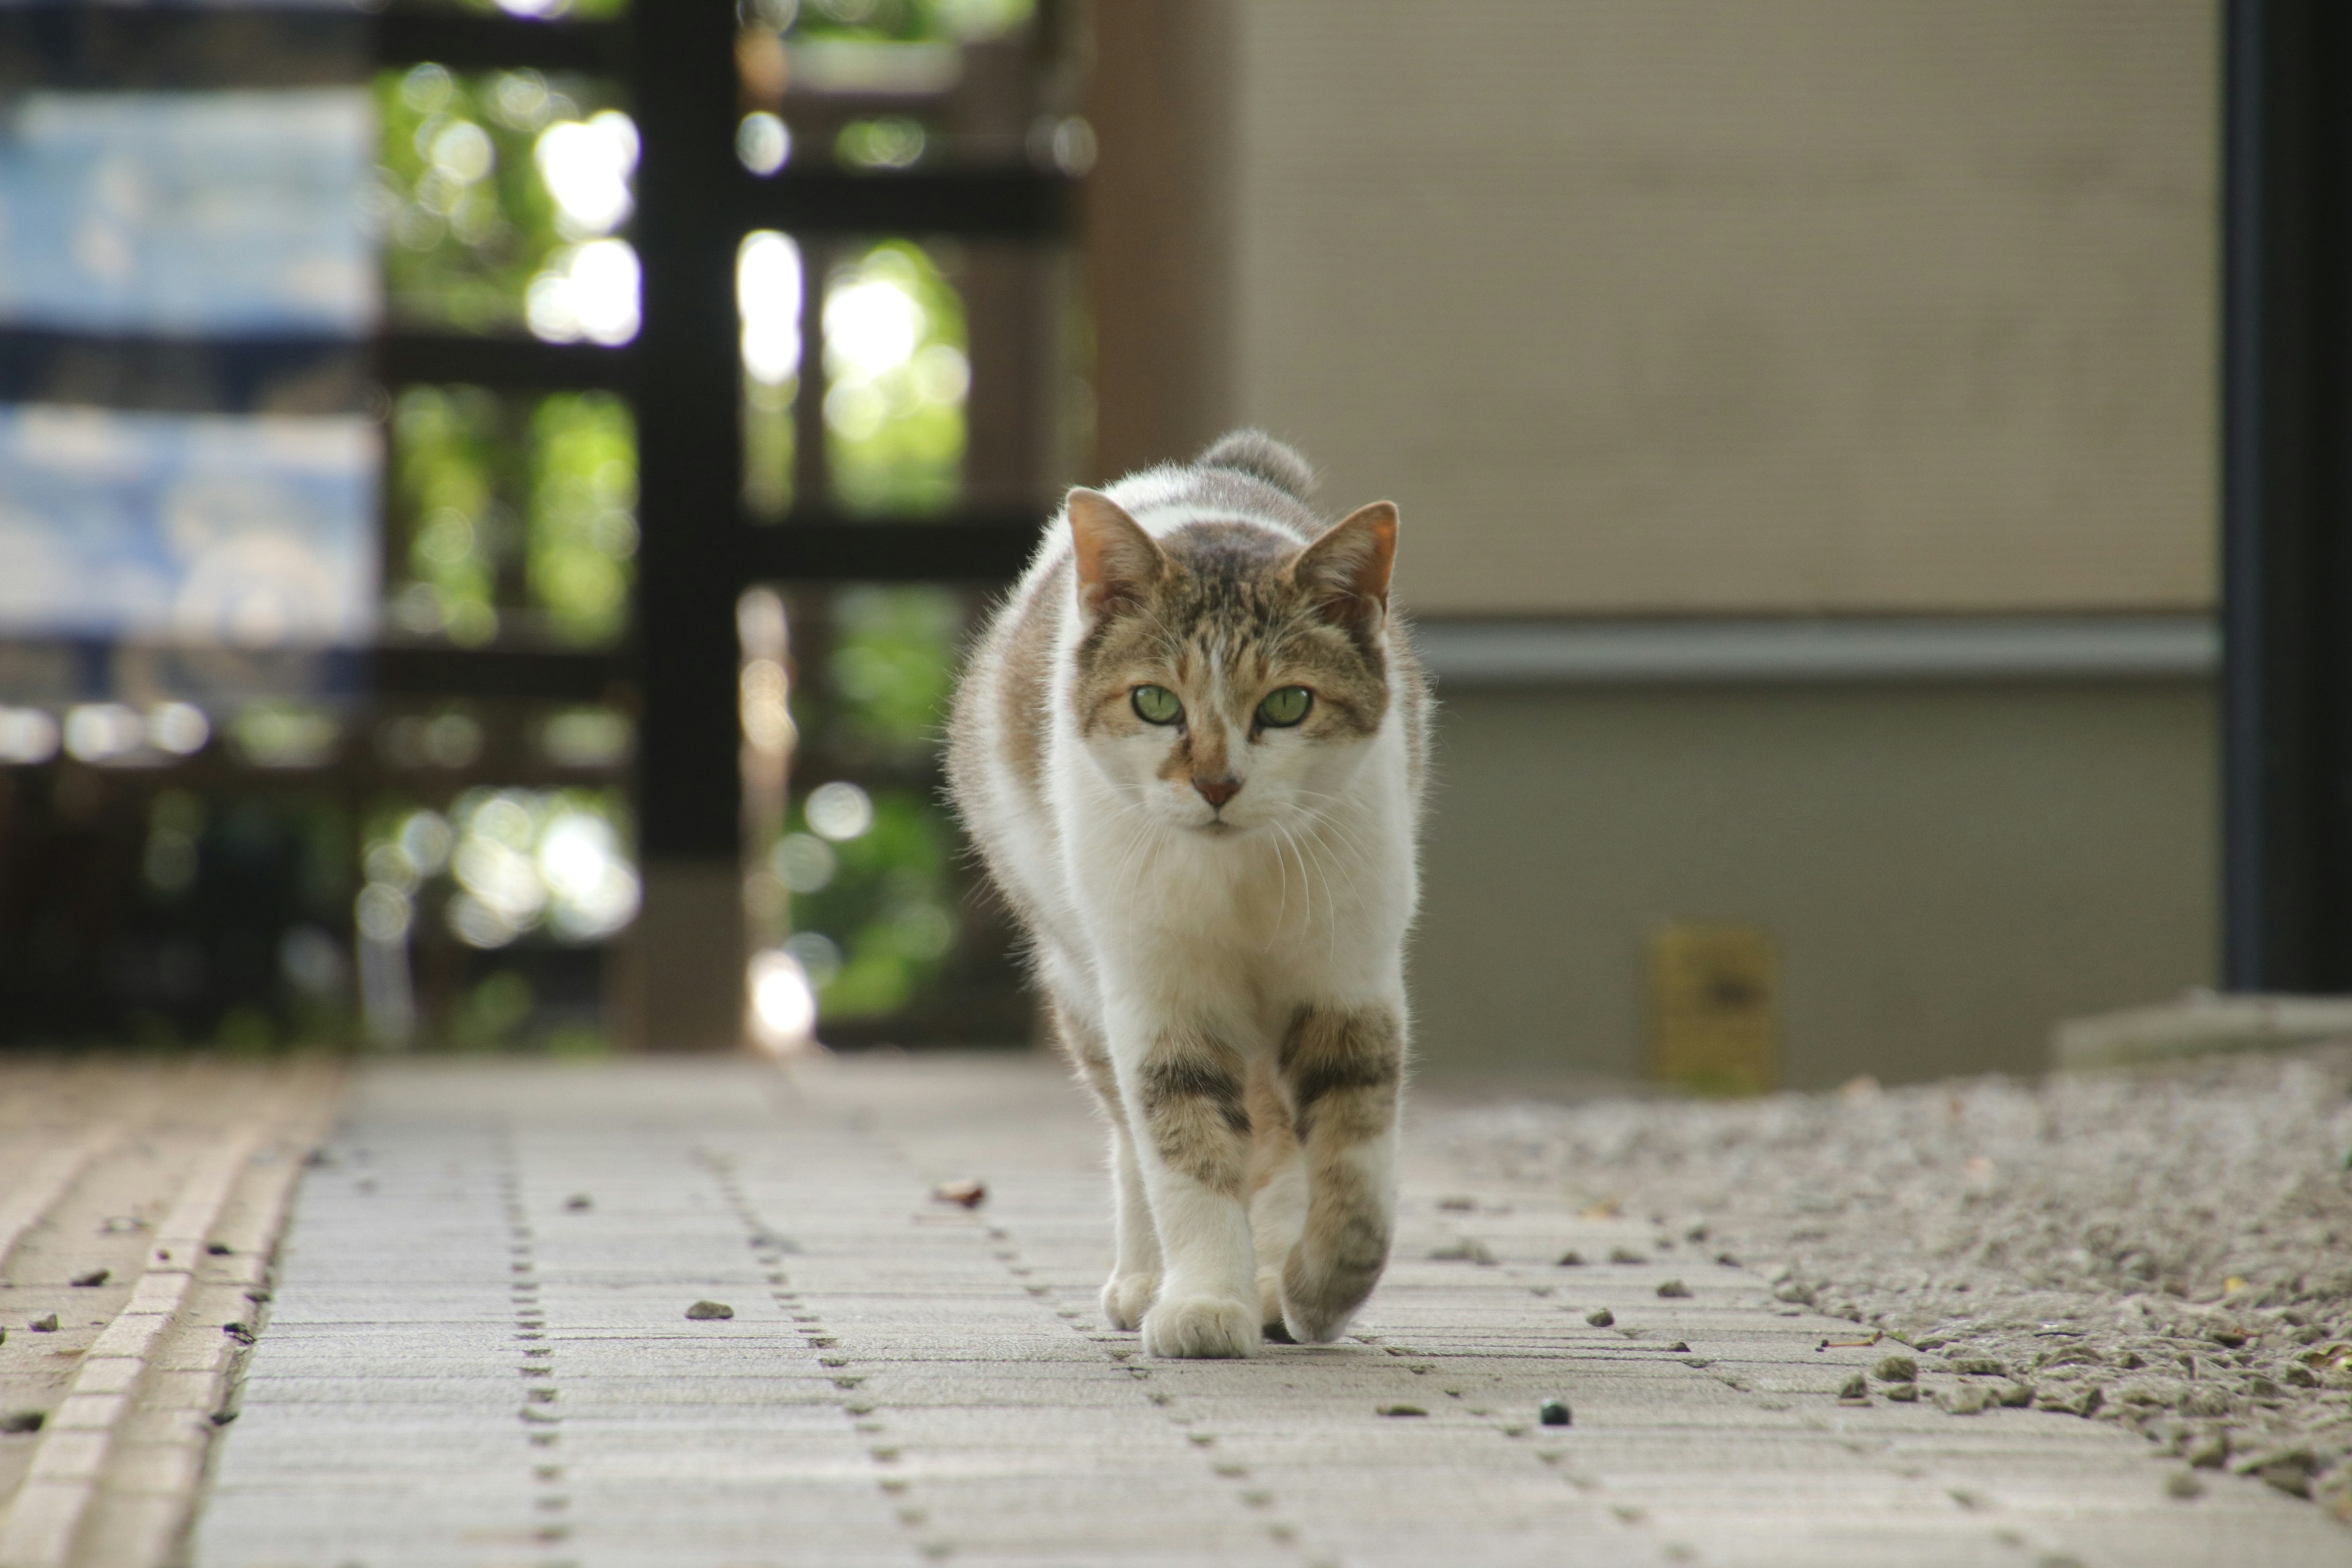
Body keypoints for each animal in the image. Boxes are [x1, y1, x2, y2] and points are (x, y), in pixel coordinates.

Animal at [941, 432, 1420, 1363]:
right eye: (1156, 702)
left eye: (1289, 703)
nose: (1217, 783)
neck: (1239, 882)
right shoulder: (1162, 1002)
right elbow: (1186, 1154)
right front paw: (1203, 1301)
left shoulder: (1349, 984)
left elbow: (1355, 1169)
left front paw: (1316, 1288)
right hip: (1081, 979)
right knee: (1132, 1139)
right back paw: (1144, 1280)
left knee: (1276, 1143)